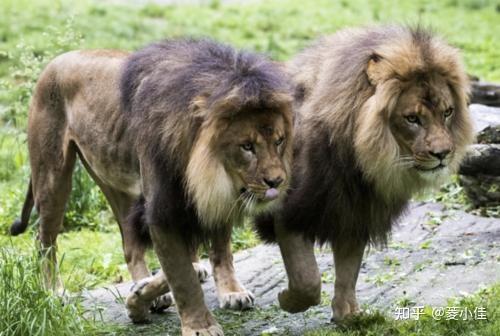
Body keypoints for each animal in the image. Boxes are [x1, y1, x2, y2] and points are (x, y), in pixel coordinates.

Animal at [10, 38, 292, 334]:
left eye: (279, 141)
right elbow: (182, 276)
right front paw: (199, 325)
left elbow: (219, 248)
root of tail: (53, 63)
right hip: (53, 176)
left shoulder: (215, 196)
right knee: (45, 239)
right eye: (247, 146)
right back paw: (54, 291)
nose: (277, 181)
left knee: (130, 245)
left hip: (117, 180)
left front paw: (230, 291)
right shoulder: (162, 207)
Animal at [256, 25, 474, 320]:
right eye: (412, 119)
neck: (361, 165)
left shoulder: (356, 213)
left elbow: (348, 272)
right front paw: (288, 300)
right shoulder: (289, 213)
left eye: (448, 112)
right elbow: (307, 279)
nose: (443, 154)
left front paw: (348, 316)